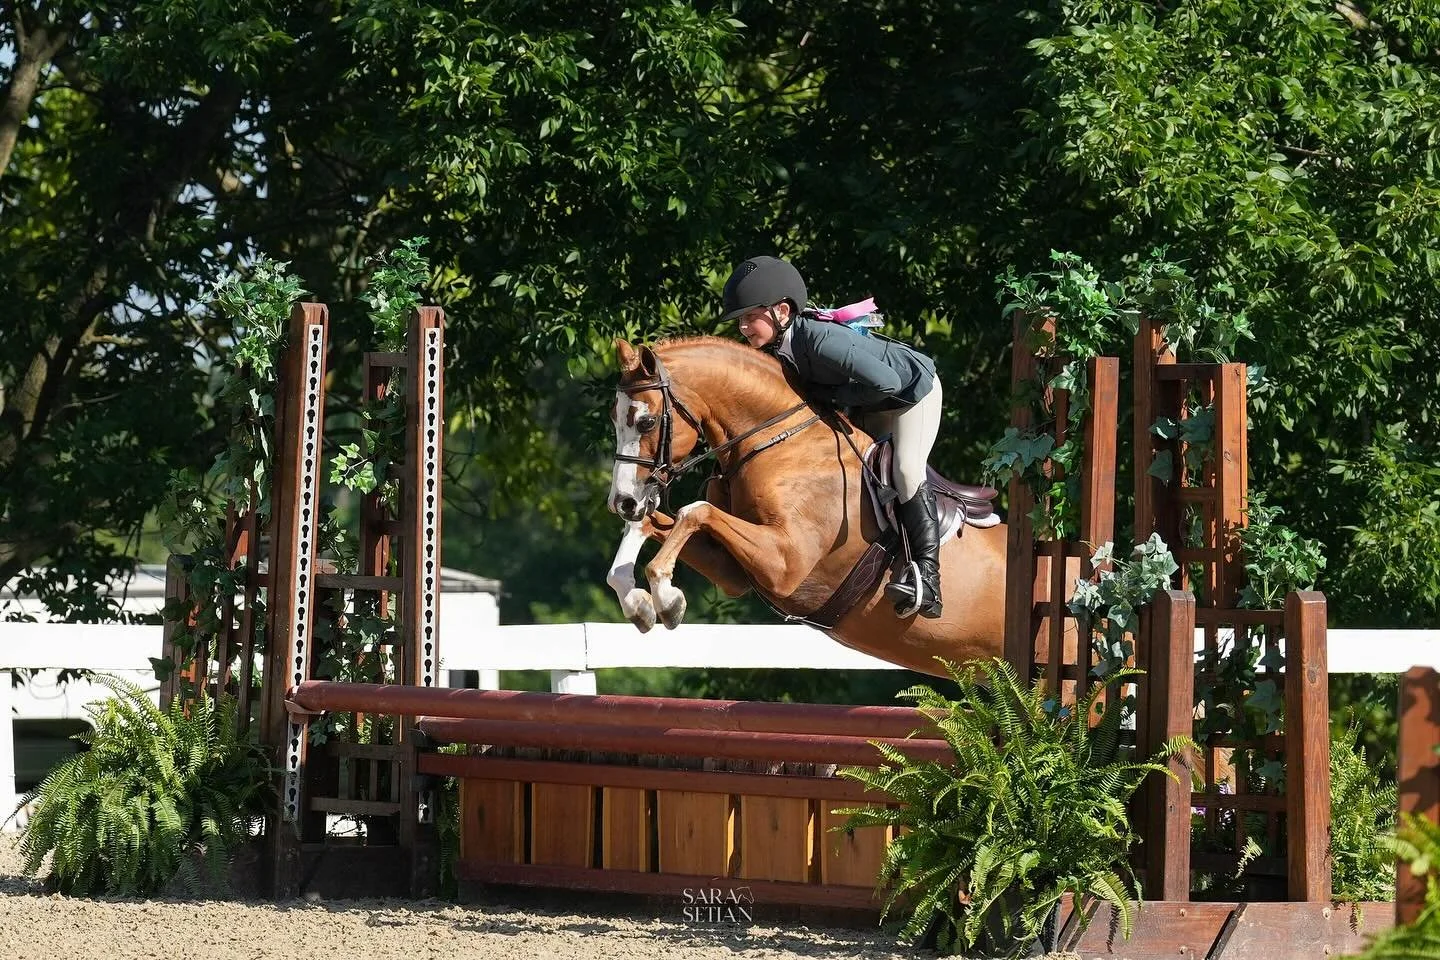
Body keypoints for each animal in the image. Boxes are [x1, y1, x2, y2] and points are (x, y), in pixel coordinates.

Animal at [604, 335, 1008, 679]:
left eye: (646, 421)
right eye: (614, 418)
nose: (623, 502)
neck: (778, 442)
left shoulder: (786, 563)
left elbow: (696, 510)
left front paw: (666, 597)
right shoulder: (733, 572)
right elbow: (652, 523)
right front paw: (638, 603)